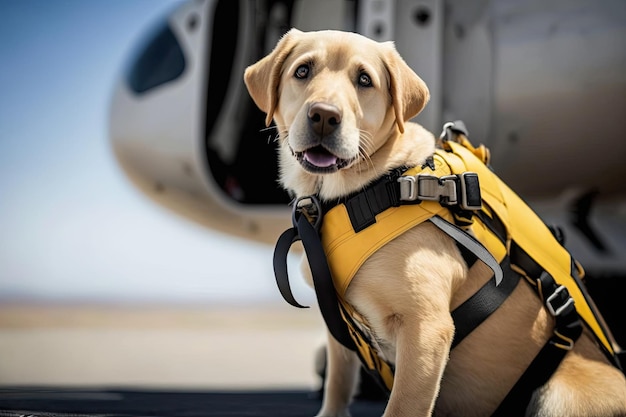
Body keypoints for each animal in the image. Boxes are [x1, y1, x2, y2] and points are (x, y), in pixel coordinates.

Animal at [243, 29, 624, 416]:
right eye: (303, 71)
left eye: (364, 80)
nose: (323, 115)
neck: (364, 190)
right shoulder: (342, 333)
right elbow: (337, 386)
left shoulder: (426, 327)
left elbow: (401, 406)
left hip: (559, 395)